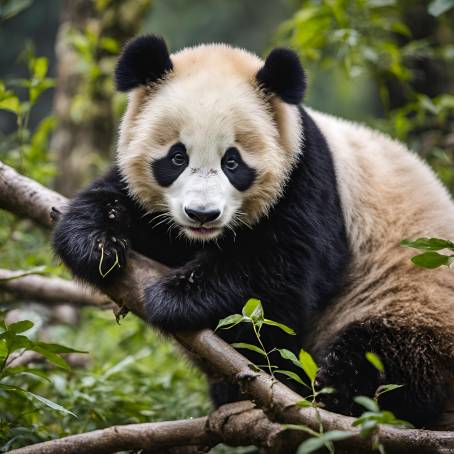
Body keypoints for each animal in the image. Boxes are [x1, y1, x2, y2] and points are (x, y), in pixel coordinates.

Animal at [51, 35, 454, 430]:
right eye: (177, 157)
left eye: (232, 161)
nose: (202, 214)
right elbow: (122, 205)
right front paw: (96, 244)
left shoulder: (307, 178)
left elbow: (281, 274)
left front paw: (176, 296)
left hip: (410, 298)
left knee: (380, 354)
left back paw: (331, 393)